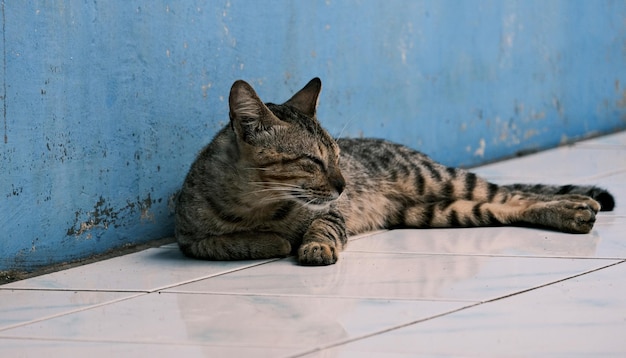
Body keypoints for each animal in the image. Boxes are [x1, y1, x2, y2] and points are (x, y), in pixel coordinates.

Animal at [176, 78, 616, 266]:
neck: (258, 205)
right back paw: (573, 212)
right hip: (438, 212)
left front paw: (312, 244)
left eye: (338, 156)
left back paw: (576, 204)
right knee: (507, 207)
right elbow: (224, 243)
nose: (345, 185)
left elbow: (322, 226)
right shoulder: (187, 238)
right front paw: (272, 241)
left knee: (516, 194)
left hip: (440, 179)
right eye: (312, 161)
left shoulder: (332, 213)